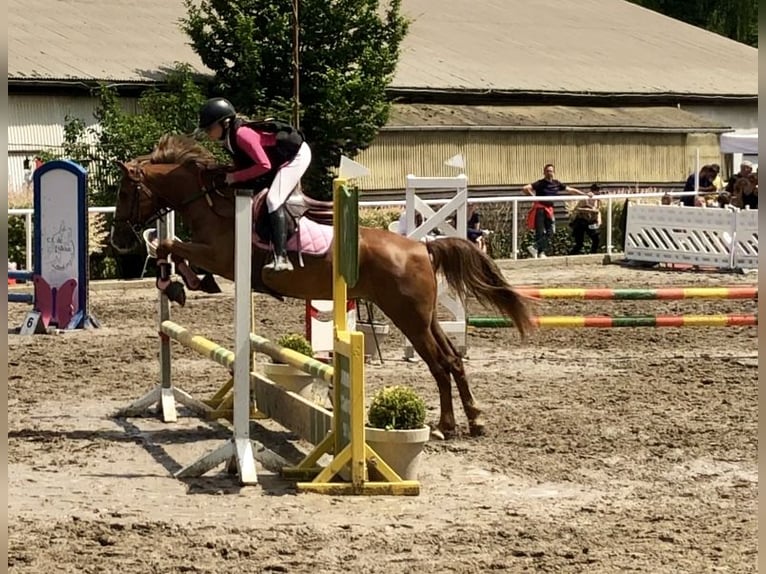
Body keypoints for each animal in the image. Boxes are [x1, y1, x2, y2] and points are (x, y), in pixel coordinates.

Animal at [109, 136, 536, 440]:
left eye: (125, 193)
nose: (118, 241)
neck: (213, 203)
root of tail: (421, 247)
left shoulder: (220, 256)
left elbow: (170, 245)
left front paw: (179, 284)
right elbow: (169, 247)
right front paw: (181, 283)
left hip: (409, 318)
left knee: (440, 364)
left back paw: (447, 426)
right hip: (424, 317)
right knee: (453, 360)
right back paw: (473, 421)